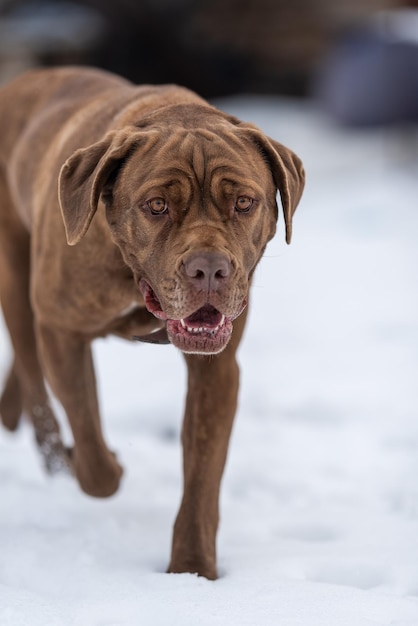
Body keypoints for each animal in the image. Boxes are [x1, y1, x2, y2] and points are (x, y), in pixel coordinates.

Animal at [0, 66, 304, 576]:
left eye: (244, 202)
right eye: (157, 205)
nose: (208, 269)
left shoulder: (217, 368)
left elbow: (202, 473)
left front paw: (192, 570)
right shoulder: (61, 329)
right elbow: (90, 441)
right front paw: (100, 465)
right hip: (17, 285)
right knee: (34, 379)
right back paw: (56, 458)